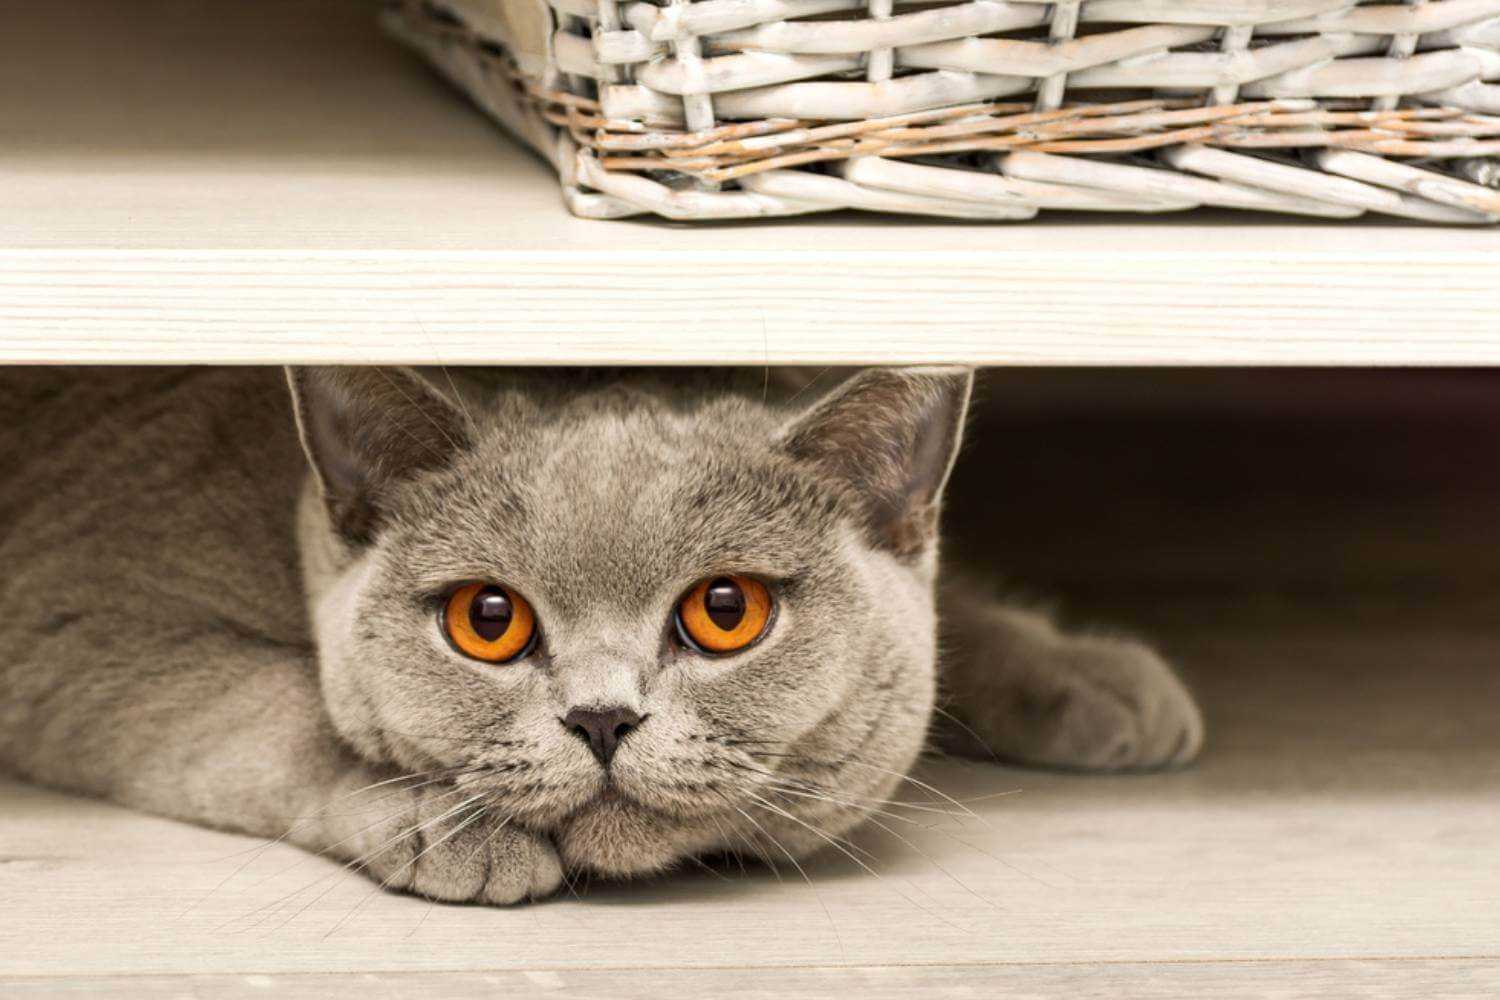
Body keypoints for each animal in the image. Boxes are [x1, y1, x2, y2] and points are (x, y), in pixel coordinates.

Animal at [0, 367, 1194, 905]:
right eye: (488, 621)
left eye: (726, 610)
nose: (603, 717)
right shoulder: (72, 619)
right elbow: (281, 705)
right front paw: (449, 827)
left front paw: (1090, 677)